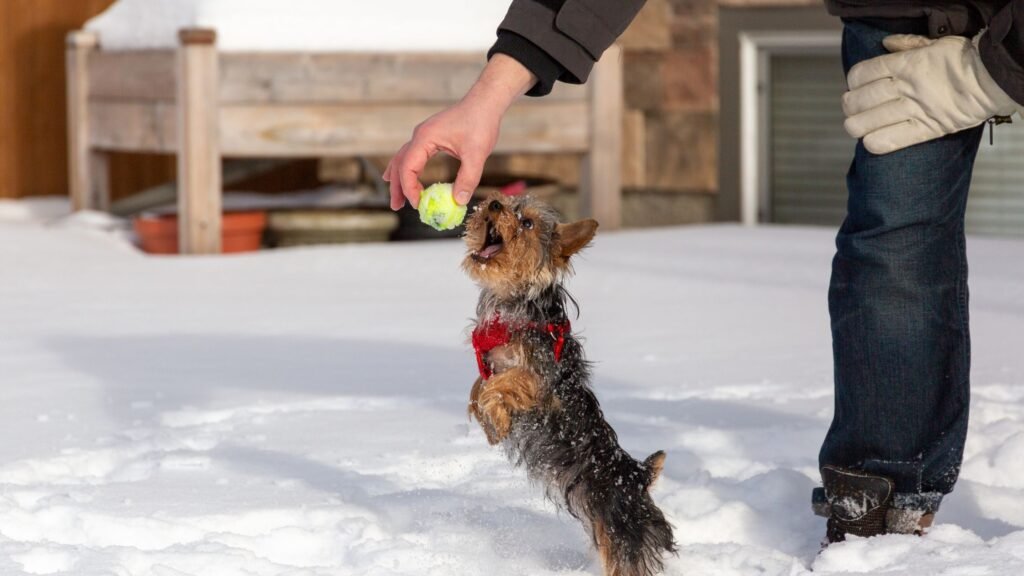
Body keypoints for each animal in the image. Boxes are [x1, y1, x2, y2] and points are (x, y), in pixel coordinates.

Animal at [462, 192, 671, 573]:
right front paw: (490, 426)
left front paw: (498, 418)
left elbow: (504, 384)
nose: (493, 204)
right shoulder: (489, 364)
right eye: (504, 203)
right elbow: (477, 389)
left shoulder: (543, 379)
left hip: (621, 534)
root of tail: (637, 477)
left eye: (527, 223)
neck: (513, 303)